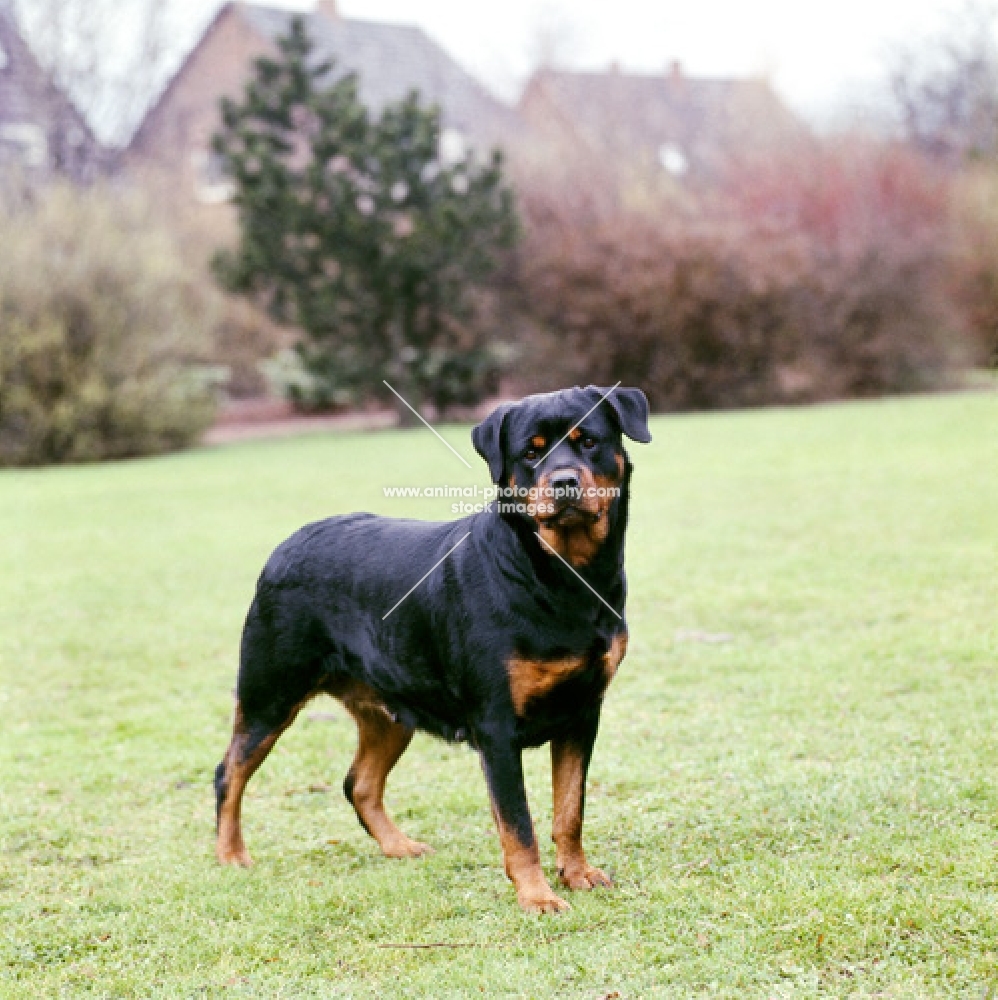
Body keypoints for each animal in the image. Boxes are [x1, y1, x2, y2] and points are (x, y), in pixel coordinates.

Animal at [215, 384, 652, 916]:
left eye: (588, 441)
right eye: (530, 453)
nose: (564, 481)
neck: (561, 576)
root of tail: (284, 546)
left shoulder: (582, 714)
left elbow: (570, 810)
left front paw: (577, 873)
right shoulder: (496, 727)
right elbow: (518, 824)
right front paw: (536, 896)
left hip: (388, 711)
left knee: (360, 783)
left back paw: (398, 846)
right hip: (270, 694)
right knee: (229, 772)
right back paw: (230, 855)